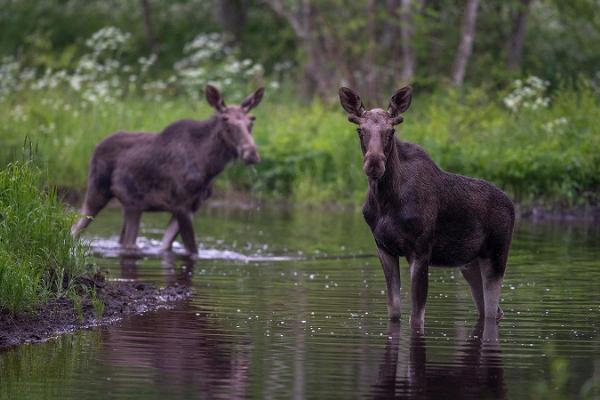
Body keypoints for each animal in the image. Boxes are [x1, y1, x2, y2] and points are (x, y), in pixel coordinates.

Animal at [71, 85, 264, 255]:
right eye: (225, 120)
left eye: (252, 120)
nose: (252, 154)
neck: (209, 167)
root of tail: (95, 148)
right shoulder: (181, 204)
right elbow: (192, 250)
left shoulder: (193, 206)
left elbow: (166, 246)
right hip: (100, 192)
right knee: (79, 229)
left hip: (130, 204)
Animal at [340, 86, 512, 328]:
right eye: (359, 130)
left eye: (391, 131)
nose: (374, 163)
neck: (385, 200)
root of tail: (512, 205)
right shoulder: (384, 249)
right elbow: (394, 312)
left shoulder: (420, 251)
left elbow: (416, 317)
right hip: (469, 264)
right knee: (493, 311)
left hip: (496, 256)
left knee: (490, 310)